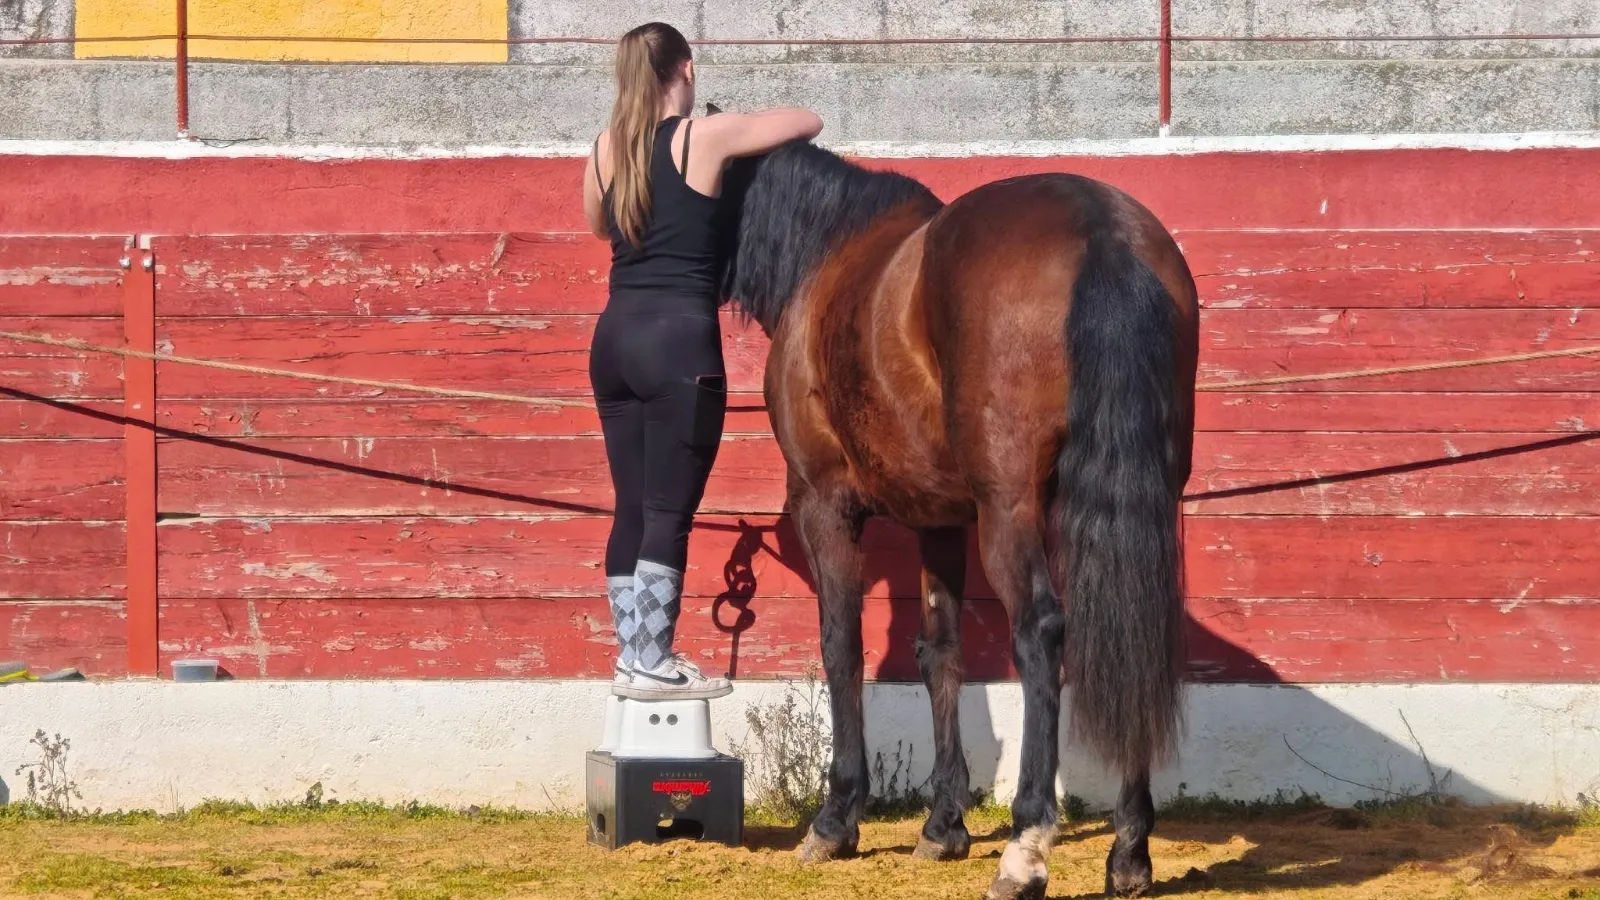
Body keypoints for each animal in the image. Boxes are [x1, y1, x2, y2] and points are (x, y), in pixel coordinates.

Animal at [717, 142, 1200, 900]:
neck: (826, 254)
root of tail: (1104, 230)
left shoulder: (822, 503)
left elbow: (841, 646)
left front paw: (835, 820)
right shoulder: (938, 519)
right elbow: (939, 652)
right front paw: (943, 826)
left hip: (1011, 508)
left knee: (1041, 631)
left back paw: (1026, 850)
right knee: (1131, 627)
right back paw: (1129, 853)